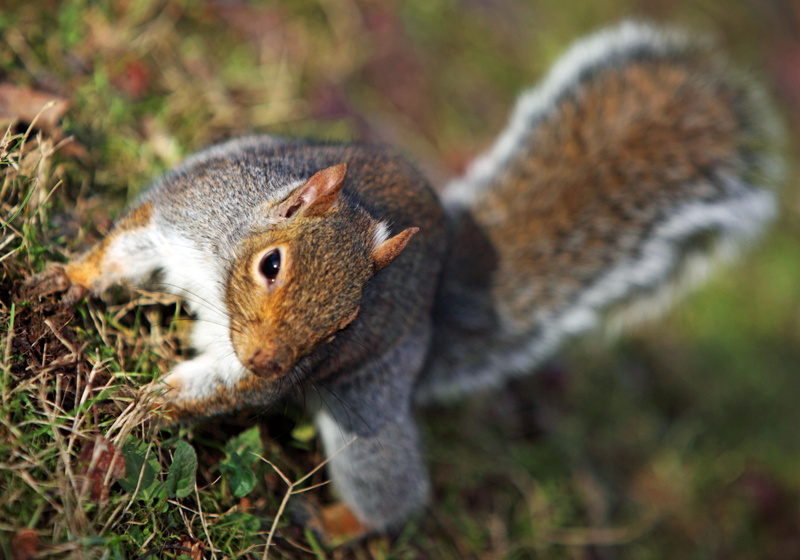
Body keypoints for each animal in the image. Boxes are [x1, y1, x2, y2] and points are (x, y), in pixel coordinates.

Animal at [27, 22, 783, 536]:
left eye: (344, 325)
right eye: (271, 265)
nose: (272, 358)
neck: (219, 275)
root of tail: (433, 313)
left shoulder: (271, 370)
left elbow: (221, 387)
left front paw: (147, 405)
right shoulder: (184, 212)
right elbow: (123, 249)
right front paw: (67, 279)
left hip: (369, 406)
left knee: (392, 486)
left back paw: (337, 524)